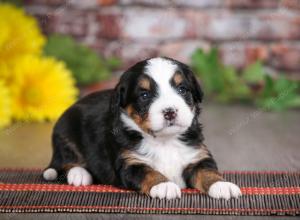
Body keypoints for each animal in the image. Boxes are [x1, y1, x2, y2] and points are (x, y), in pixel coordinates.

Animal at [43, 56, 241, 199]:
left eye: (182, 89)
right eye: (144, 95)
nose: (170, 111)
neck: (165, 142)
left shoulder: (198, 156)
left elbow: (208, 172)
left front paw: (222, 185)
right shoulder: (129, 163)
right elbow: (149, 172)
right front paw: (164, 185)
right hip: (65, 134)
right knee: (66, 162)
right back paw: (79, 175)